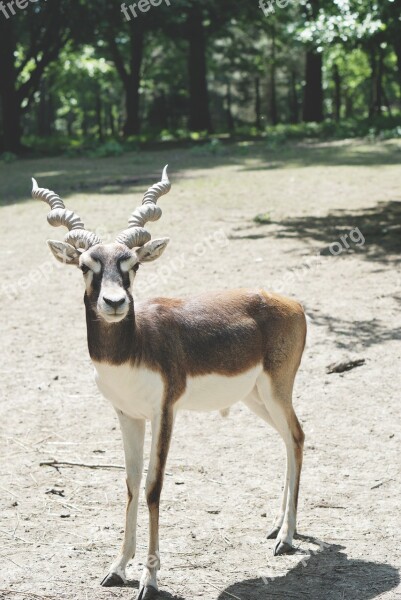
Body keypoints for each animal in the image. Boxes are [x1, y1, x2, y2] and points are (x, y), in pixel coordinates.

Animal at [32, 168, 304, 600]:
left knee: (296, 436)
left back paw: (287, 538)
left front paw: (150, 578)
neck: (134, 347)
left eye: (131, 264)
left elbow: (153, 487)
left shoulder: (165, 412)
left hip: (277, 389)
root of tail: (291, 303)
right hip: (255, 397)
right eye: (85, 265)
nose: (114, 303)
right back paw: (278, 527)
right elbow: (129, 483)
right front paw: (117, 568)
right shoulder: (127, 414)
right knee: (287, 440)